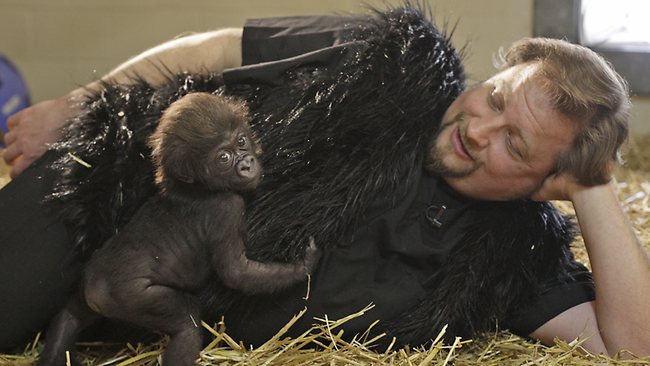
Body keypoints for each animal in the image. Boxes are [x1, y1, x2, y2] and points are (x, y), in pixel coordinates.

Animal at [37, 92, 316, 366]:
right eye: (224, 158)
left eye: (241, 141)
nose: (246, 163)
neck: (194, 187)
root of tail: (95, 288)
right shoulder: (227, 208)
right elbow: (236, 272)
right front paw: (304, 265)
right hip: (130, 298)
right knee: (186, 324)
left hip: (85, 288)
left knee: (69, 315)